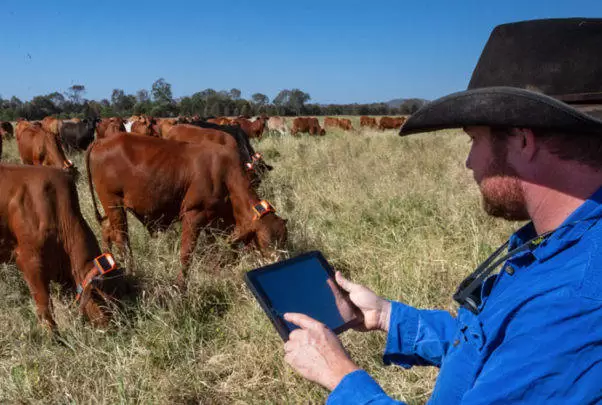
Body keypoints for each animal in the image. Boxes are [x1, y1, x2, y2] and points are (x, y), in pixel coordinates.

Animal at [85, 134, 288, 282]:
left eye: (283, 240)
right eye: (266, 242)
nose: (278, 263)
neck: (225, 175)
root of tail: (100, 141)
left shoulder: (212, 220)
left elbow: (213, 249)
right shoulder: (193, 215)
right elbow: (186, 254)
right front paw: (181, 288)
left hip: (111, 209)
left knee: (107, 230)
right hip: (114, 204)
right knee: (122, 239)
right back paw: (130, 272)